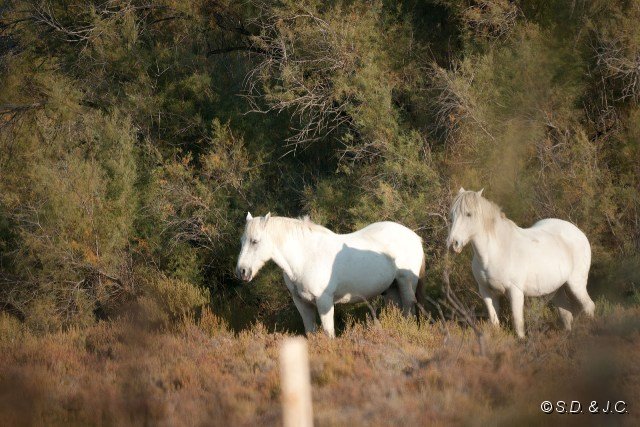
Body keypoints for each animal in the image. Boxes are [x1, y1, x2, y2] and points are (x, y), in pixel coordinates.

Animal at [235, 214, 424, 338]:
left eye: (255, 241)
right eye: (242, 241)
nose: (241, 271)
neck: (305, 256)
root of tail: (414, 236)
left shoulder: (324, 301)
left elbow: (328, 333)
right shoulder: (302, 303)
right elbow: (310, 332)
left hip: (405, 282)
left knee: (409, 307)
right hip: (391, 288)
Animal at [444, 189, 596, 340]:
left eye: (469, 214)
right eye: (452, 214)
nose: (452, 244)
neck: (495, 252)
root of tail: (578, 232)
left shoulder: (515, 291)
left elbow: (518, 322)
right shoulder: (486, 291)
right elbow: (494, 322)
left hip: (576, 284)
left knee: (589, 306)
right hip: (556, 288)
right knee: (566, 313)